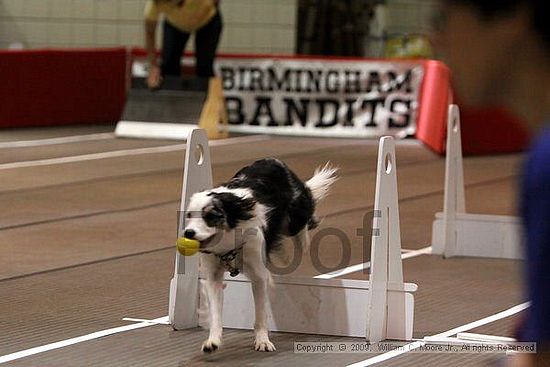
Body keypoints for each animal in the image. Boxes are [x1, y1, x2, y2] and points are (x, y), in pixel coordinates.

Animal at [185, 159, 338, 354]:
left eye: (211, 216)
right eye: (189, 215)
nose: (188, 233)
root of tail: (273, 160)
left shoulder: (258, 274)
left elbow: (260, 311)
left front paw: (262, 341)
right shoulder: (213, 276)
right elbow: (215, 312)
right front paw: (212, 341)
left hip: (294, 217)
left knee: (301, 225)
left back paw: (302, 242)